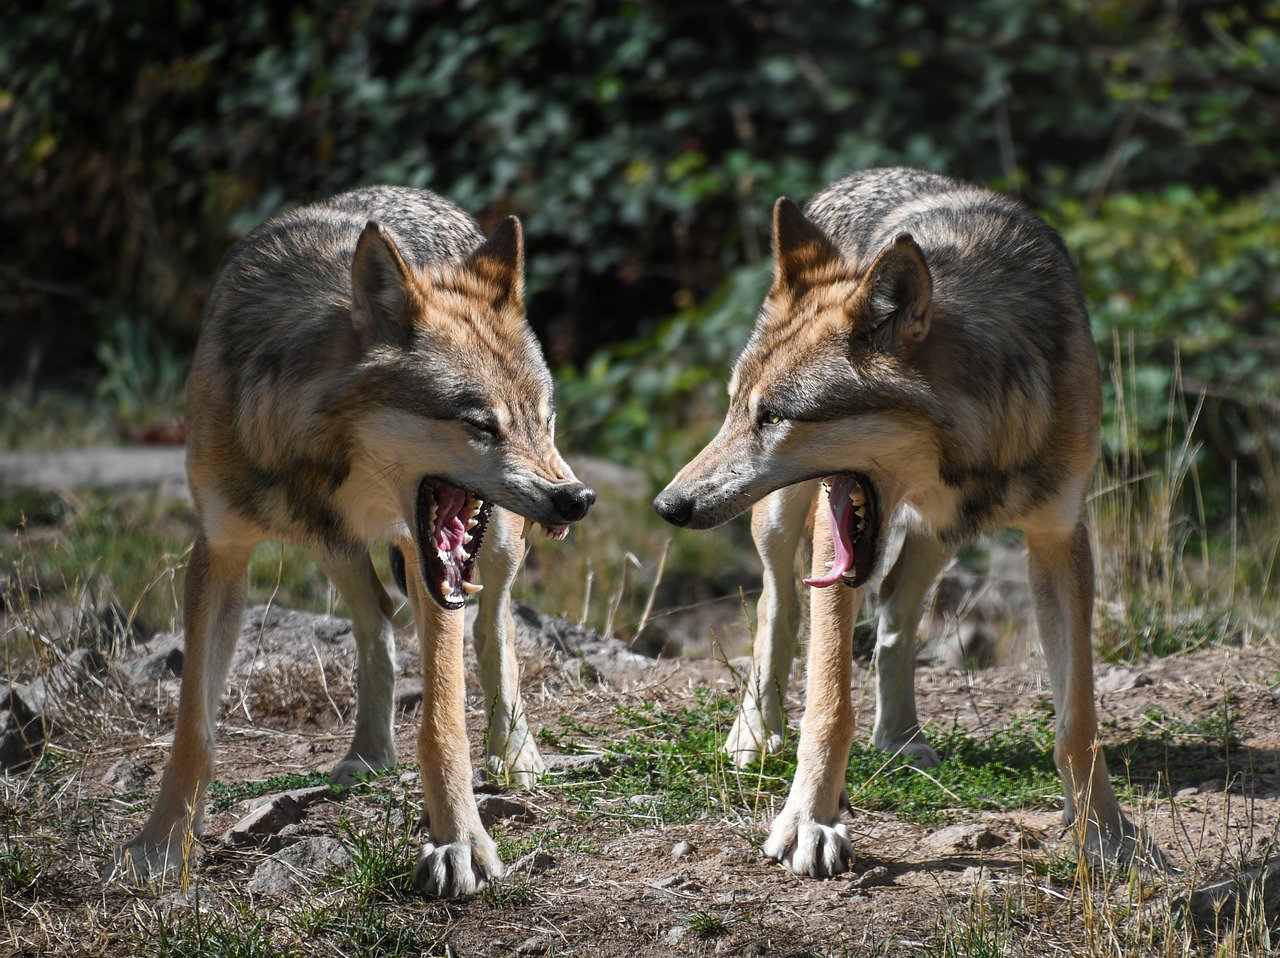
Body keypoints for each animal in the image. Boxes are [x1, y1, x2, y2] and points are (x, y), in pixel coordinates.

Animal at [110, 185, 593, 896]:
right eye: (481, 424)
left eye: (543, 418)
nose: (578, 499)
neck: (319, 456)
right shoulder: (219, 551)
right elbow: (193, 728)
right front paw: (163, 844)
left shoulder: (429, 561)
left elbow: (442, 722)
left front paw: (458, 841)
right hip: (333, 552)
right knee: (379, 624)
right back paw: (368, 752)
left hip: (495, 544)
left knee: (493, 626)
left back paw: (514, 752)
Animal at [655, 170, 1167, 876]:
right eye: (738, 409)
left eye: (774, 415)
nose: (667, 506)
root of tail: (859, 175)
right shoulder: (836, 528)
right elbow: (829, 700)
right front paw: (811, 820)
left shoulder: (1060, 539)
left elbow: (1078, 720)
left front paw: (1106, 832)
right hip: (785, 520)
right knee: (776, 606)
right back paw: (755, 733)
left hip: (939, 537)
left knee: (896, 609)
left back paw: (900, 737)